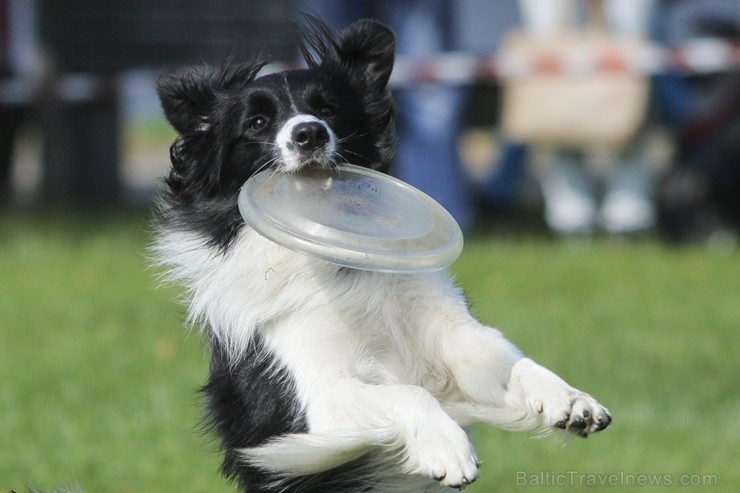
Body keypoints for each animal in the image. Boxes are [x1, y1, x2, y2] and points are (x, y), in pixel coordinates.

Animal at [152, 17, 612, 490]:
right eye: (258, 122)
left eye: (328, 110)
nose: (309, 133)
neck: (337, 264)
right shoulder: (320, 402)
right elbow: (407, 392)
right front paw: (447, 447)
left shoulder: (450, 335)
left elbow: (508, 359)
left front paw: (568, 398)